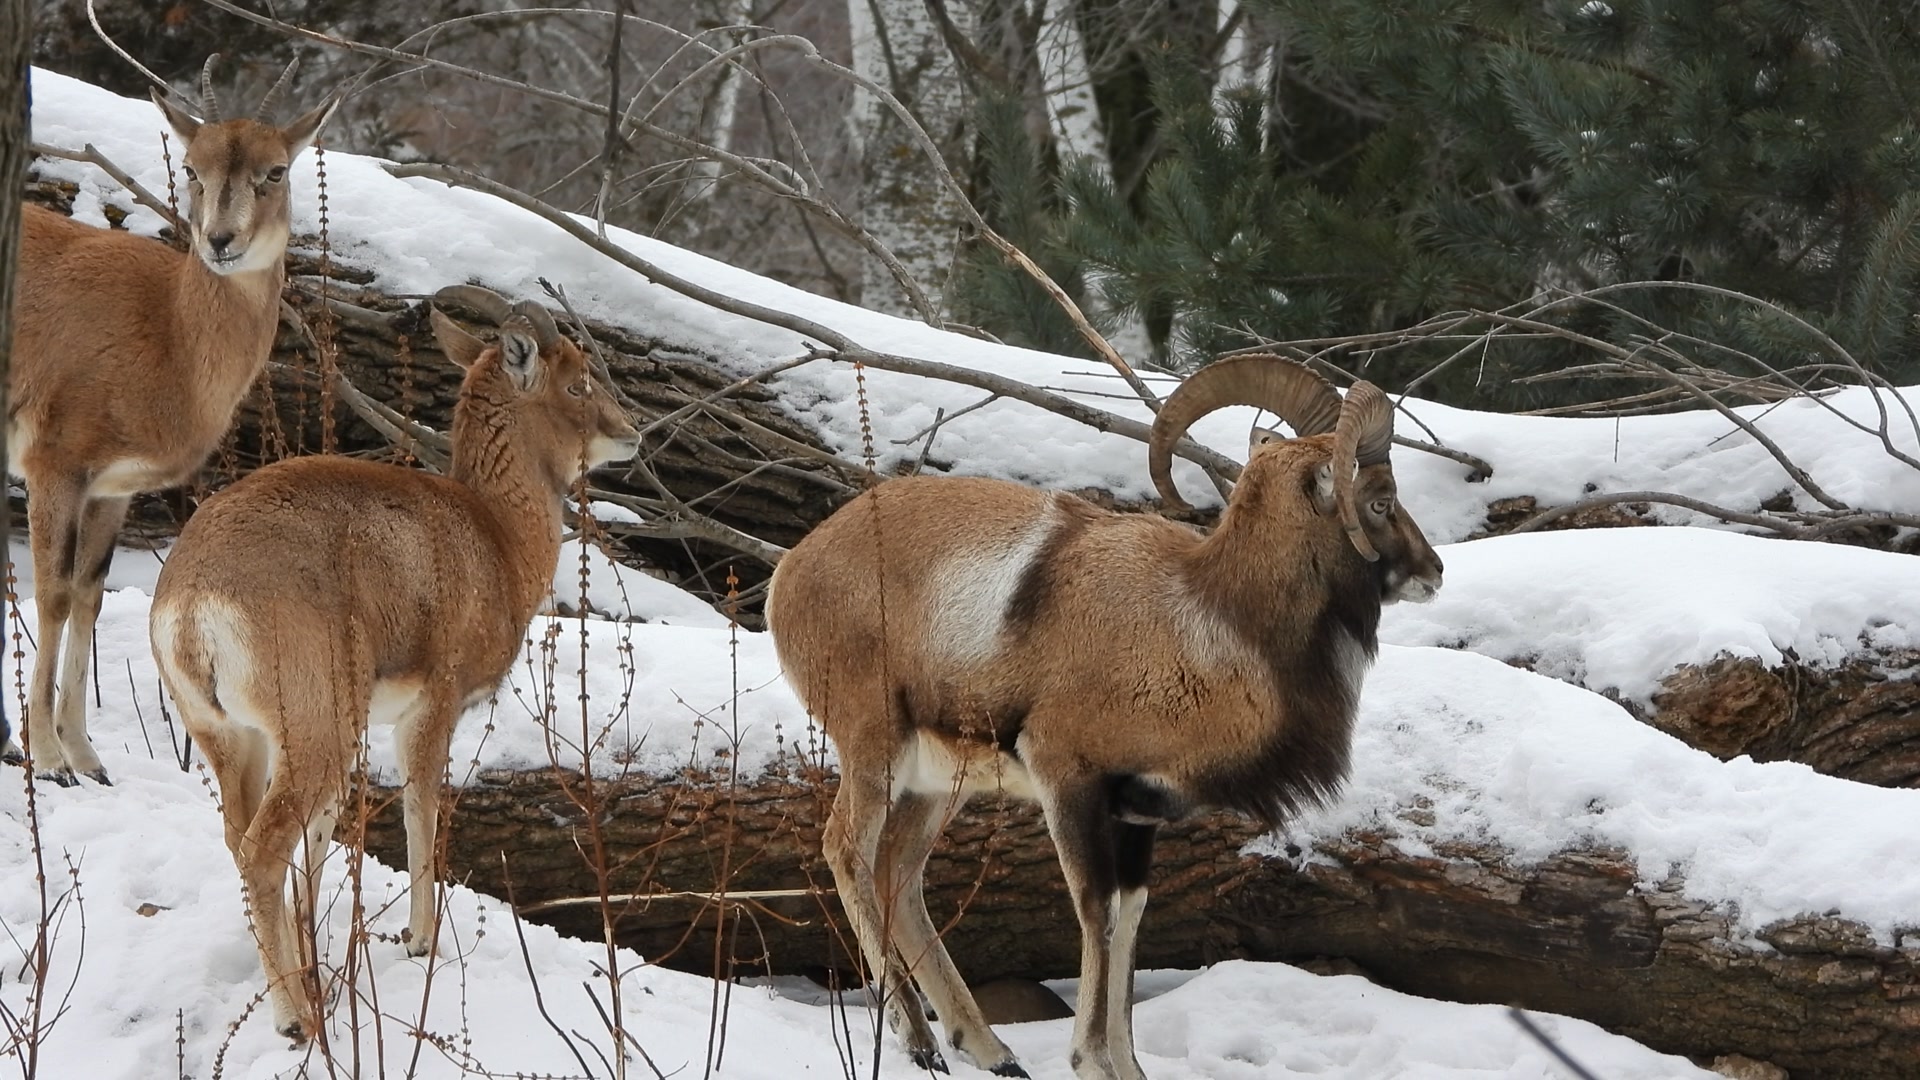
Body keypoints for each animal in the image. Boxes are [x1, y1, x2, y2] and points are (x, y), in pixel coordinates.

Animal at [765, 355, 1444, 1080]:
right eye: (1380, 499)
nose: (1432, 571)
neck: (1201, 627)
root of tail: (791, 572)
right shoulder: (1070, 785)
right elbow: (1096, 914)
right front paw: (1090, 1060)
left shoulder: (1138, 816)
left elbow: (1131, 917)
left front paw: (1128, 1066)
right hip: (875, 749)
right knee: (847, 850)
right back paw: (920, 1044)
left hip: (937, 784)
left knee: (899, 872)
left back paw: (992, 1051)